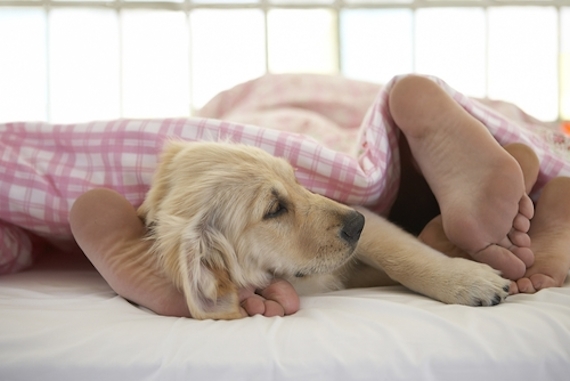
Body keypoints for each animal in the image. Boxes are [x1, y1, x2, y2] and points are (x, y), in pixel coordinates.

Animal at [139, 141, 510, 320]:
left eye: (296, 180)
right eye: (274, 209)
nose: (357, 223)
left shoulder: (370, 220)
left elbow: (401, 255)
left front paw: (466, 279)